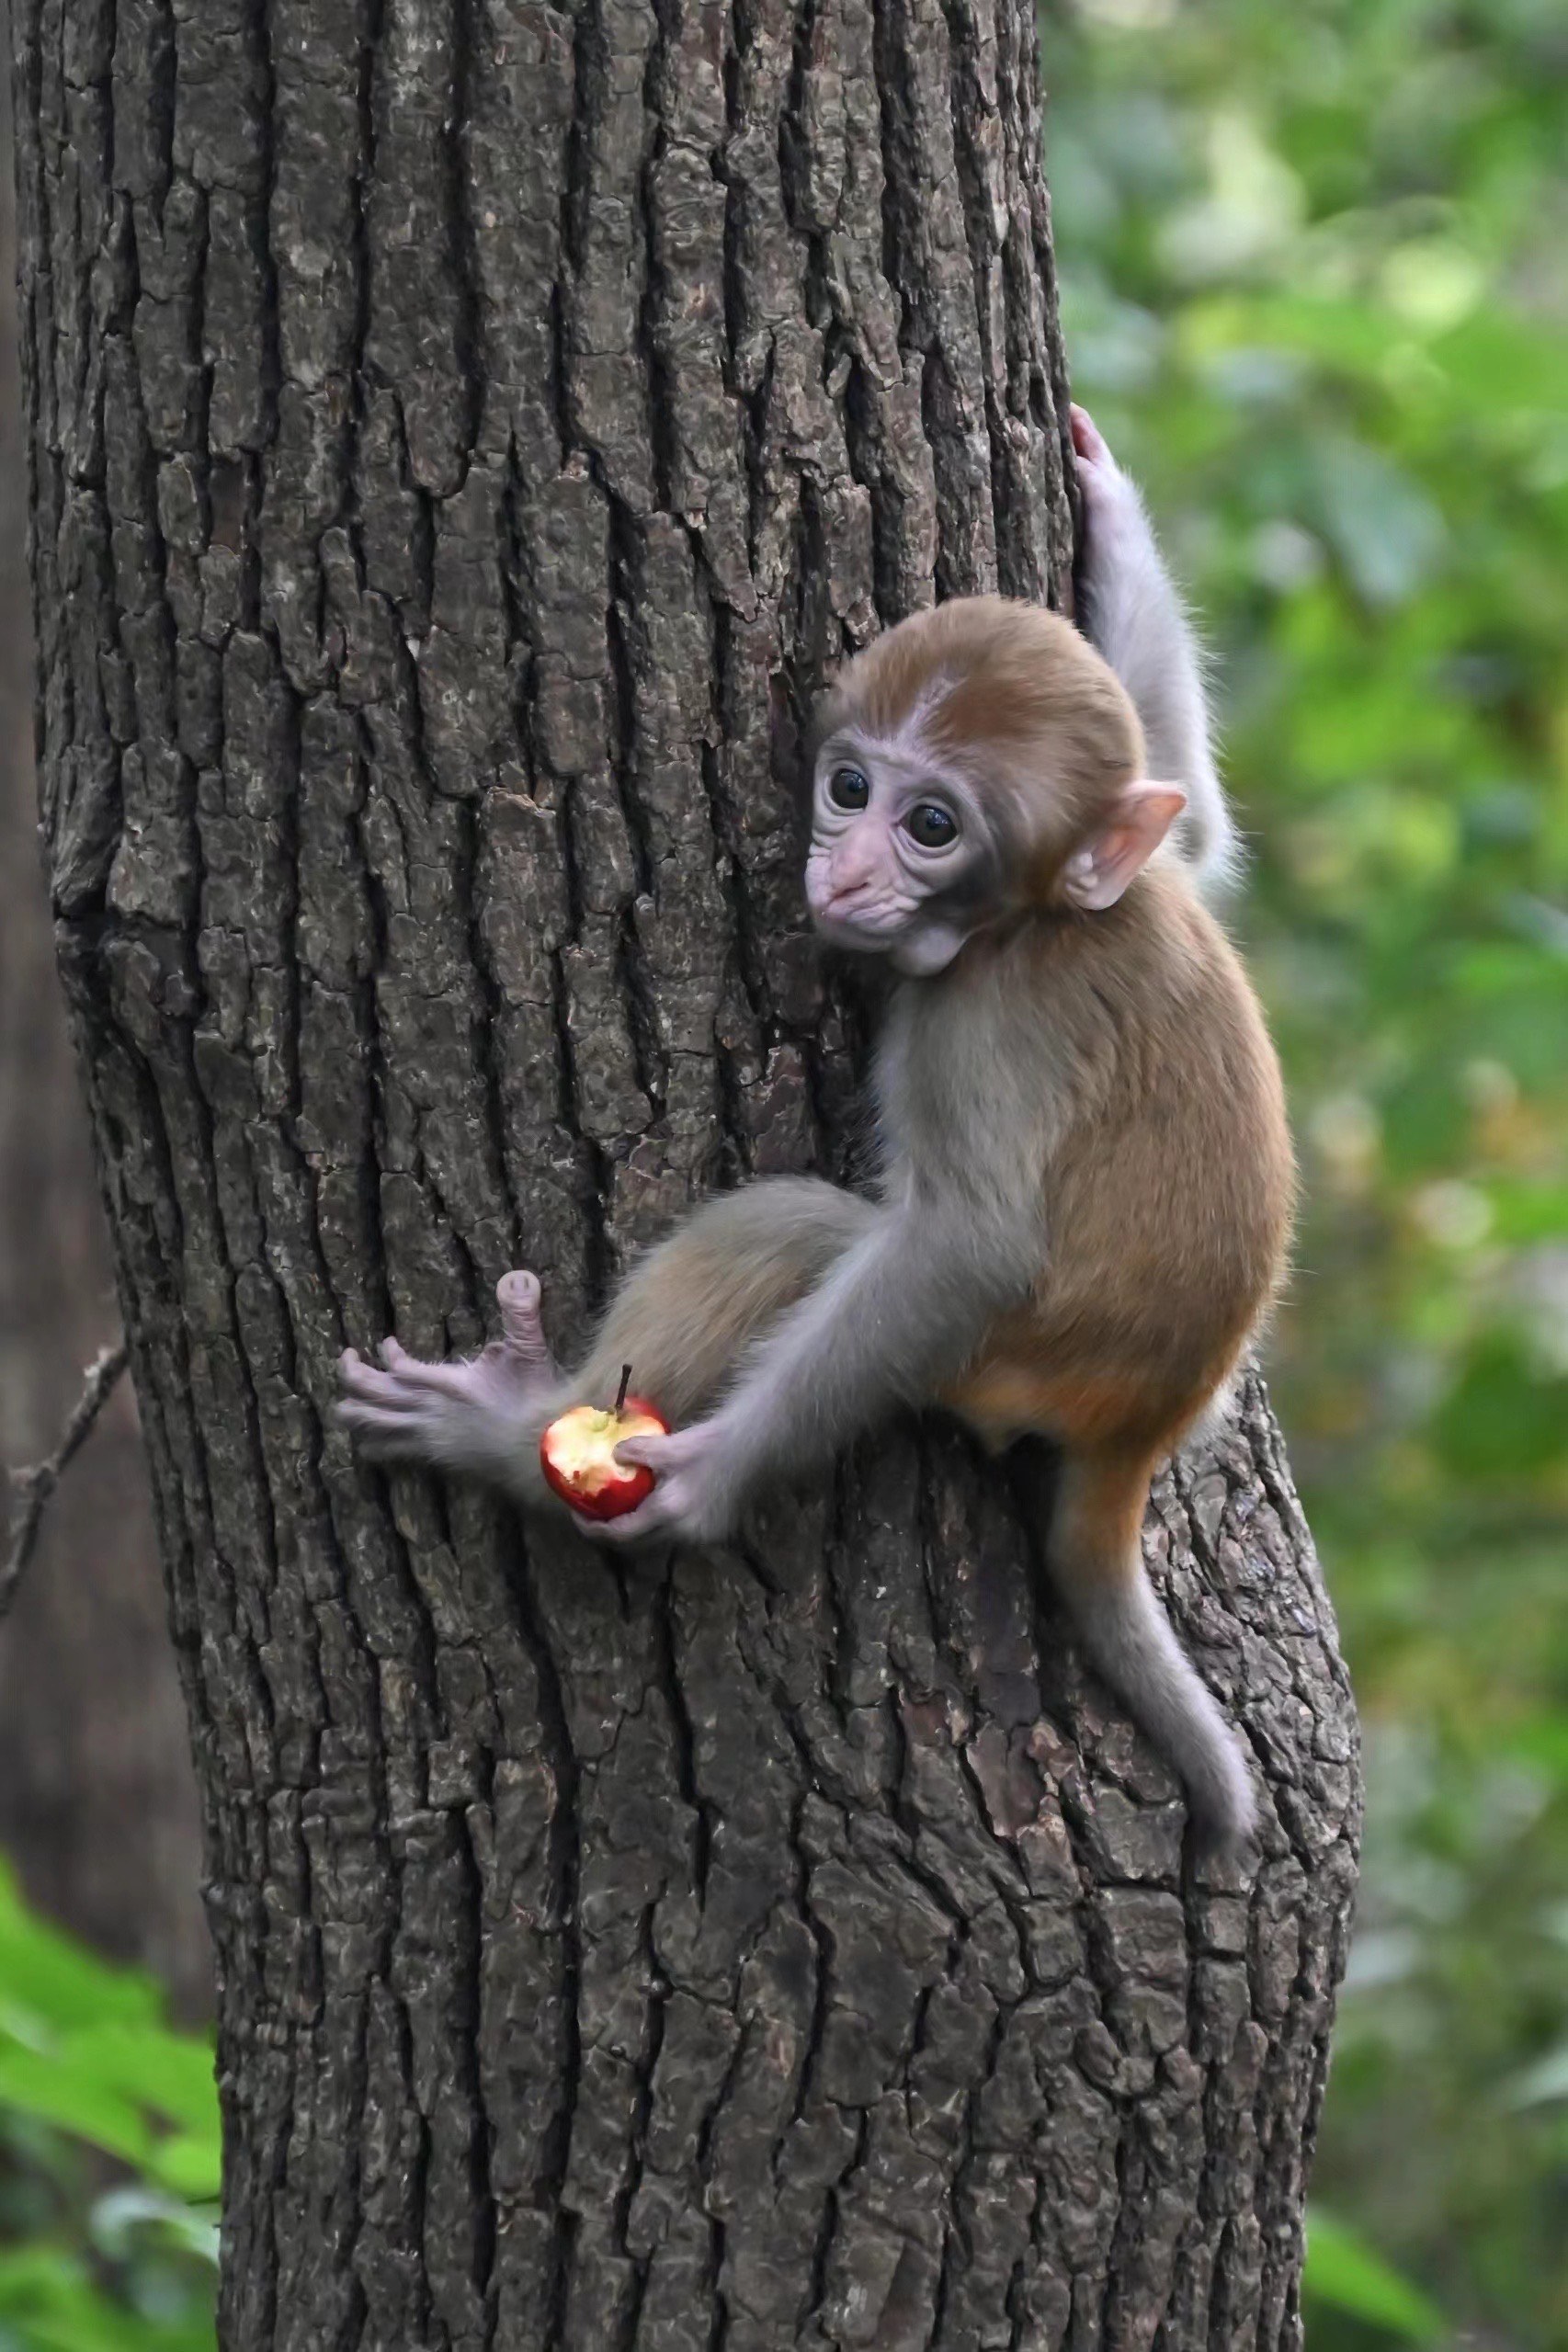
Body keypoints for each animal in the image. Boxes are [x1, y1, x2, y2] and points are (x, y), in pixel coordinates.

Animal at [334, 404, 1288, 1844]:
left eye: (929, 822)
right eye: (848, 786)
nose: (843, 865)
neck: (1036, 922)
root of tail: (1144, 1424)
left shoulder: (983, 1028)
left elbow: (968, 1246)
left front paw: (704, 1482)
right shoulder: (1145, 868)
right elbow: (1194, 821)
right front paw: (1111, 512)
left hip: (1005, 1364)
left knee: (806, 1229)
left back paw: (513, 1422)